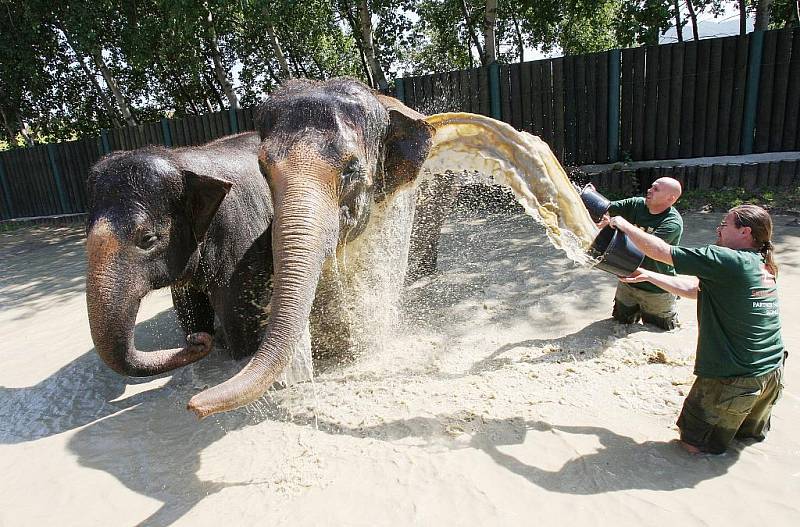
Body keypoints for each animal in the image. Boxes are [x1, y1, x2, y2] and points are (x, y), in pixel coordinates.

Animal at [86, 132, 310, 386]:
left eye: (148, 239)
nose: (197, 339)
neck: (180, 160)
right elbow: (189, 307)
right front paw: (201, 331)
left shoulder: (243, 247)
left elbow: (242, 333)